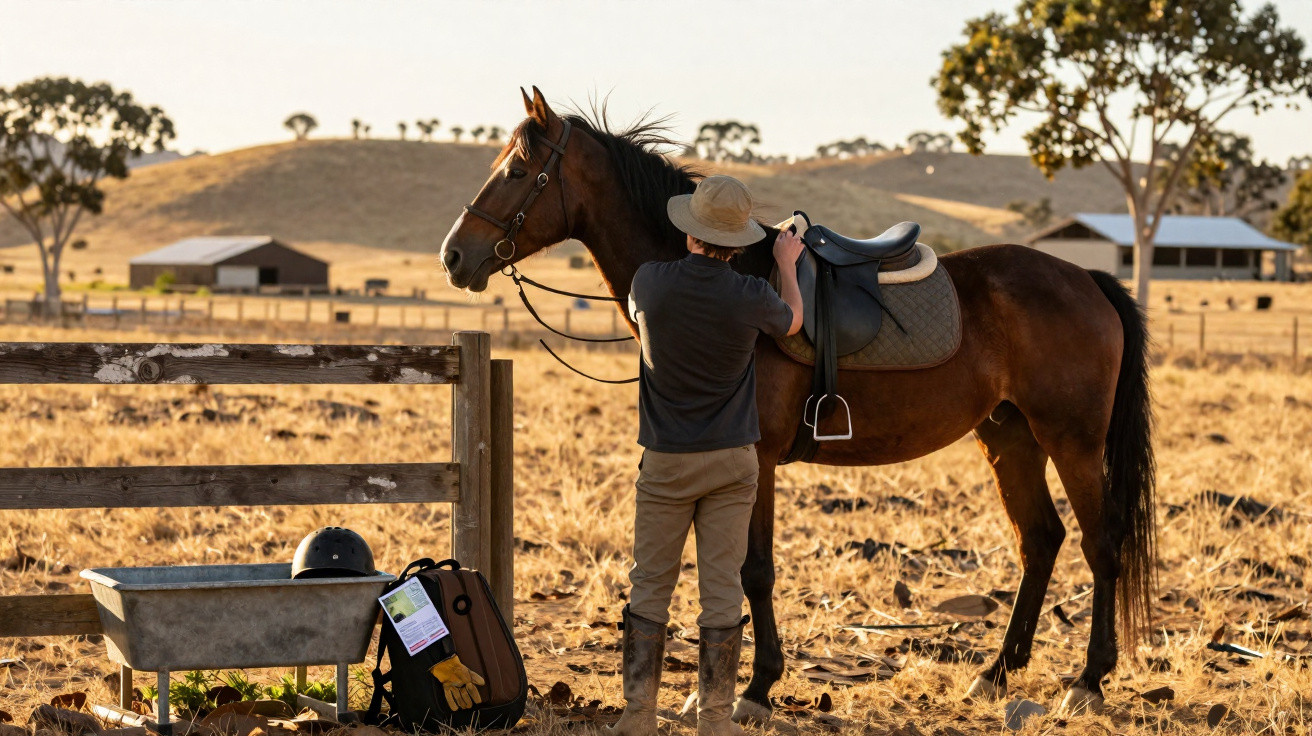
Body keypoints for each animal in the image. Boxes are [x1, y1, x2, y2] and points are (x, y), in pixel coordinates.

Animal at [440, 88, 1155, 719]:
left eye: (517, 171)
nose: (453, 256)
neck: (726, 274)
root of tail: (1085, 277)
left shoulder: (754, 460)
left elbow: (753, 570)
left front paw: (754, 689)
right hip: (1011, 438)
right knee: (1041, 540)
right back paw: (997, 672)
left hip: (1072, 442)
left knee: (1100, 543)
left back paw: (1088, 680)